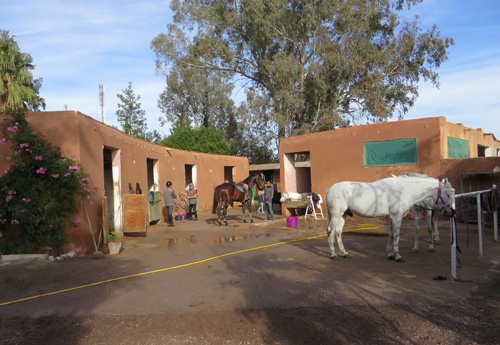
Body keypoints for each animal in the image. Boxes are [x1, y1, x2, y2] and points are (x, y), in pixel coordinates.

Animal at [326, 177, 456, 260]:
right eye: (448, 194)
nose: (450, 212)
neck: (403, 190)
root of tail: (330, 189)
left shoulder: (393, 217)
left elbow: (391, 234)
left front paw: (390, 254)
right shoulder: (397, 216)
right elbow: (396, 235)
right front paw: (398, 256)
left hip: (343, 215)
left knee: (338, 232)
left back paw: (344, 253)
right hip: (336, 215)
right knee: (331, 231)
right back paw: (333, 255)